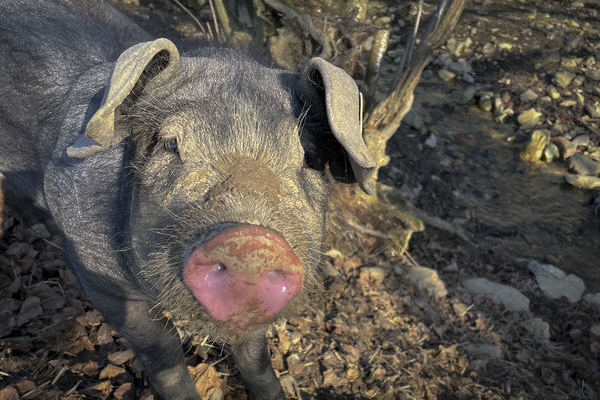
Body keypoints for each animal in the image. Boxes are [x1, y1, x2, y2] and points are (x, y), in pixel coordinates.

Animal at [0, 1, 376, 398]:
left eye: (309, 157)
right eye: (170, 144)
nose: (251, 244)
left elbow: (256, 355)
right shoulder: (99, 274)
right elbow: (162, 351)